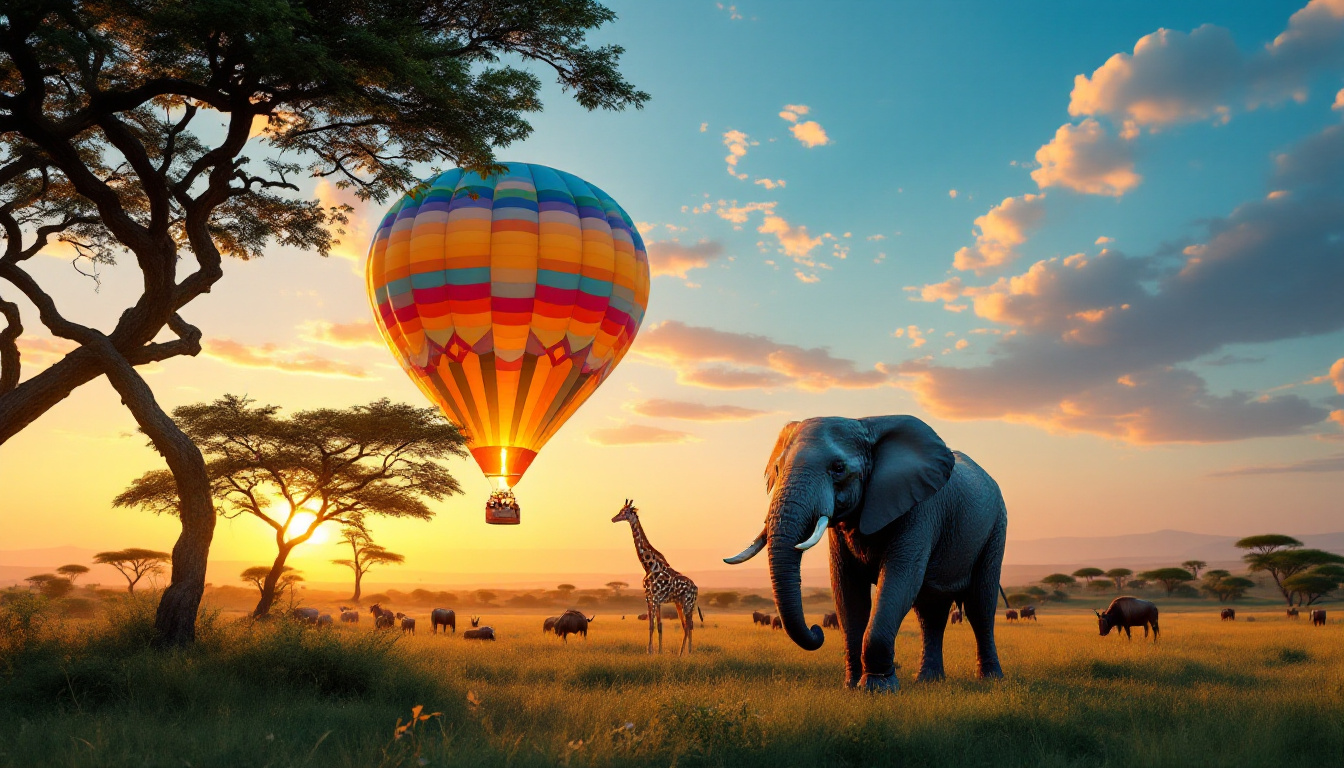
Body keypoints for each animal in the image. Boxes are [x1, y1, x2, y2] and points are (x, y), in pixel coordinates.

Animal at [612, 503, 704, 659]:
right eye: (620, 510)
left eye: (624, 512)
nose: (613, 518)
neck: (648, 566)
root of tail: (696, 588)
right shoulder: (650, 598)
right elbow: (658, 626)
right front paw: (658, 652)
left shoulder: (654, 598)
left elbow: (653, 625)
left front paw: (650, 651)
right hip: (680, 603)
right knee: (687, 625)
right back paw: (685, 652)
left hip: (688, 603)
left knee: (689, 625)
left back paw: (684, 653)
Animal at [725, 416, 1010, 694]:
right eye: (777, 468)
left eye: (838, 468)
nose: (817, 631)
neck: (865, 425)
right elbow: (847, 588)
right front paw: (852, 687)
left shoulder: (919, 508)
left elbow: (899, 578)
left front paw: (878, 688)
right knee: (931, 612)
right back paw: (928, 682)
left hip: (996, 526)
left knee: (980, 604)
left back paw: (990, 680)